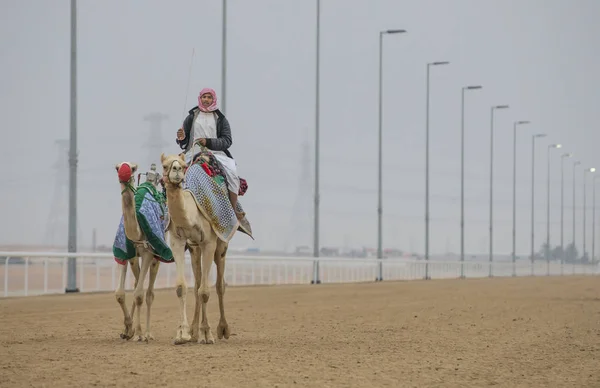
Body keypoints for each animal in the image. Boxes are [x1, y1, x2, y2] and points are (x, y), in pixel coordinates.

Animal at [113, 162, 162, 342]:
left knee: (149, 293)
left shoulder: (148, 253)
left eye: (133, 168)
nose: (123, 172)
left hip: (156, 257)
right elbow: (120, 293)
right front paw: (128, 329)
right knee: (135, 285)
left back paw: (147, 333)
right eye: (117, 167)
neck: (137, 233)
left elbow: (140, 295)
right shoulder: (126, 254)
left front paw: (140, 334)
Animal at [159, 152, 230, 346]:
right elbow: (182, 287)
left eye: (183, 166)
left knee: (219, 284)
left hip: (221, 246)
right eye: (165, 165)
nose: (176, 170)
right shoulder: (178, 241)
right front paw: (182, 334)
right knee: (198, 282)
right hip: (194, 249)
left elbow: (205, 291)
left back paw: (222, 329)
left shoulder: (209, 243)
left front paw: (207, 334)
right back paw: (193, 331)